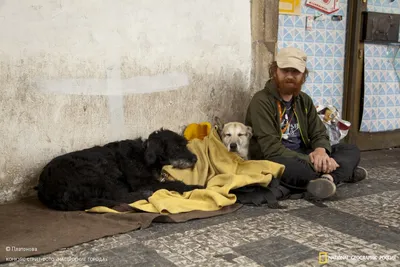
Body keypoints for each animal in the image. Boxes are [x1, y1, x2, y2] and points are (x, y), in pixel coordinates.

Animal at [36, 129, 203, 213]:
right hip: (96, 174)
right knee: (118, 195)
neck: (143, 155)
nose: (195, 158)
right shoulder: (142, 182)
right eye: (177, 148)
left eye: (185, 144)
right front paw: (197, 187)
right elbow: (175, 184)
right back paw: (143, 195)